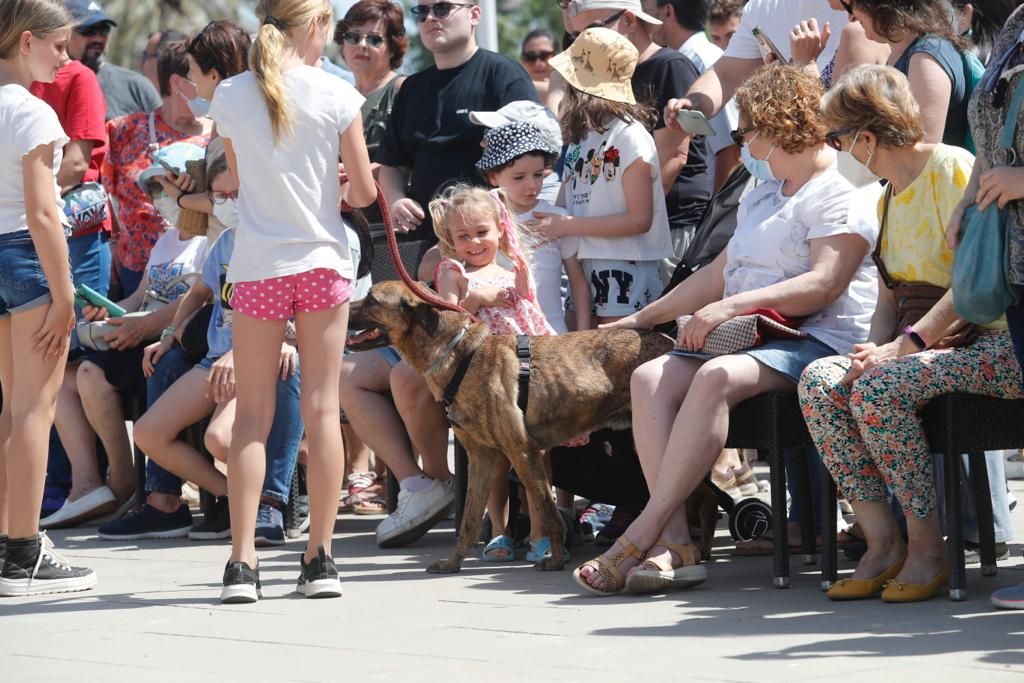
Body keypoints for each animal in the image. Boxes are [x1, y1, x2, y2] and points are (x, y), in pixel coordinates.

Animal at [348, 280, 716, 573]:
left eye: (371, 299)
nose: (342, 304)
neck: (459, 355)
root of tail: (673, 344)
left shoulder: (523, 453)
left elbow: (548, 511)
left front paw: (555, 559)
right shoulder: (483, 457)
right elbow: (469, 519)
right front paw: (453, 563)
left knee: (699, 496)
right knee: (700, 494)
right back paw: (699, 551)